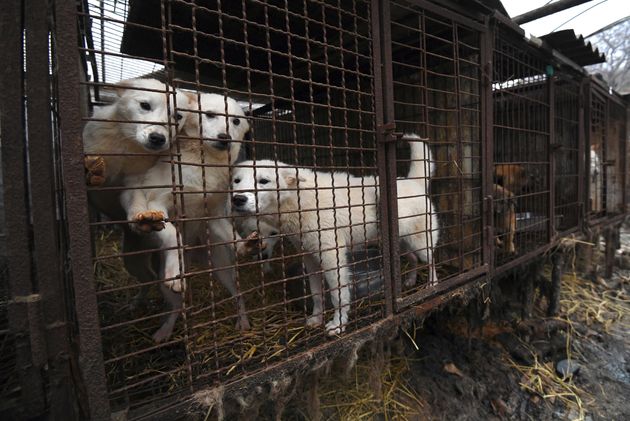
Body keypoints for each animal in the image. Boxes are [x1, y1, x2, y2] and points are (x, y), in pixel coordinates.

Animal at [121, 92, 252, 342]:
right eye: (209, 115)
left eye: (235, 121)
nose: (225, 138)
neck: (203, 166)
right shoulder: (157, 202)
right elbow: (173, 234)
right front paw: (175, 268)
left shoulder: (212, 214)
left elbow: (231, 233)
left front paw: (244, 245)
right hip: (153, 276)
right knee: (175, 305)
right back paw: (164, 329)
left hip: (222, 269)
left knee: (238, 295)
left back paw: (244, 321)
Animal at [231, 135, 440, 334]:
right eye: (236, 181)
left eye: (263, 181)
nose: (238, 199)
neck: (300, 202)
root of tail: (412, 181)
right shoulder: (310, 259)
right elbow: (316, 295)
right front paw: (316, 319)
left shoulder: (332, 259)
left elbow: (338, 296)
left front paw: (338, 324)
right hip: (400, 245)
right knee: (413, 259)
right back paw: (410, 281)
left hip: (421, 244)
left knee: (431, 261)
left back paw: (432, 284)